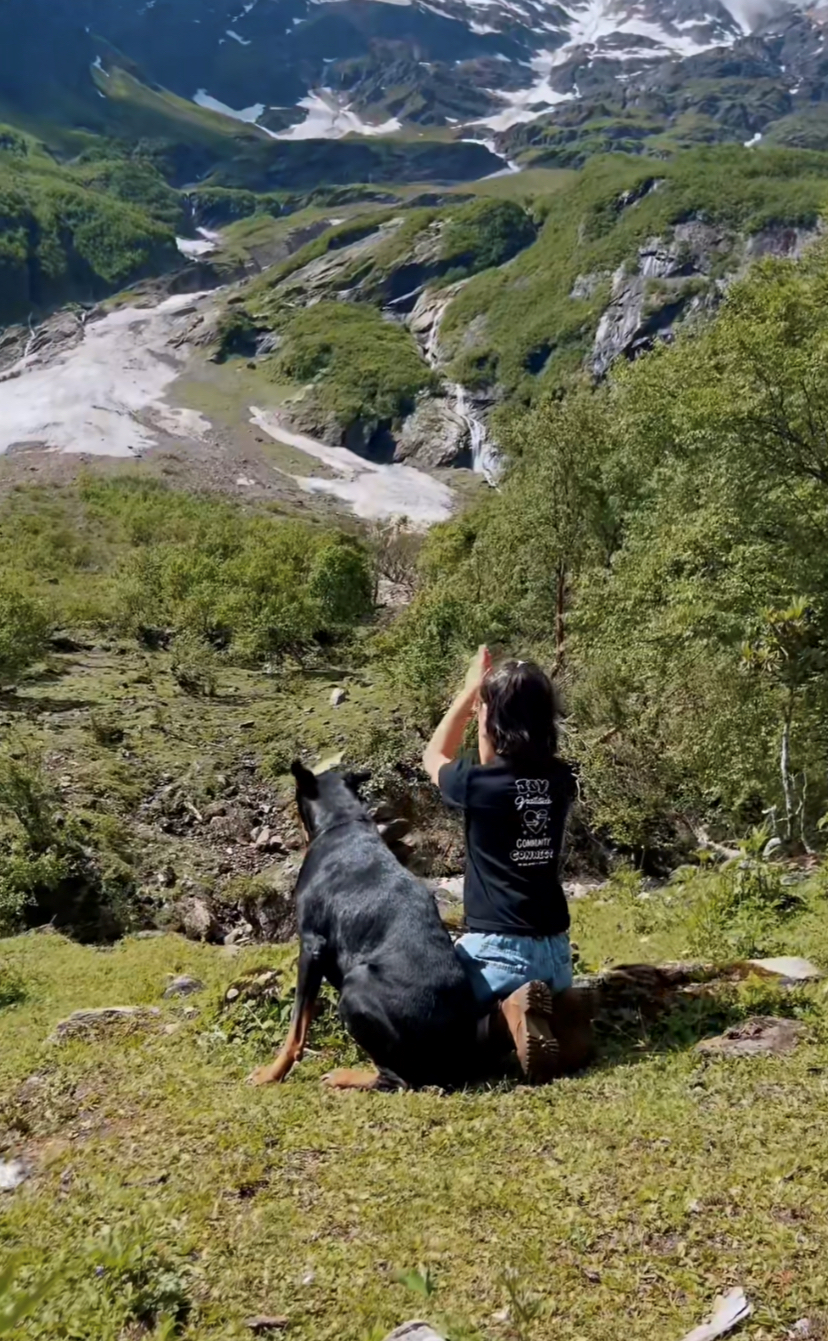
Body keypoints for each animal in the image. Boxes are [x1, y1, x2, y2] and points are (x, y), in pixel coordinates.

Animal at [248, 767, 477, 1088]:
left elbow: (296, 1026)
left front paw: (272, 1072)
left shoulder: (311, 943)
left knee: (397, 1080)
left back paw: (345, 1076)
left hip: (356, 985)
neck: (342, 822)